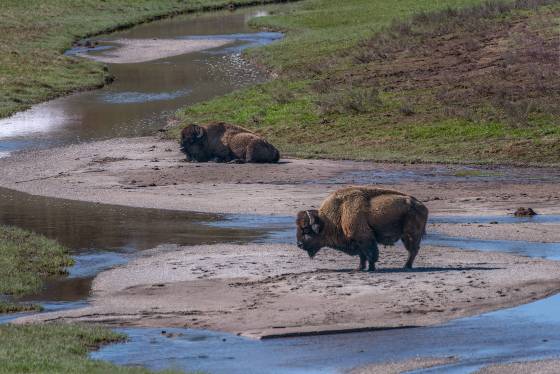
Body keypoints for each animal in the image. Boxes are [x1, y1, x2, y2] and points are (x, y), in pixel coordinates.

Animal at [298, 187, 428, 272]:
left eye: (306, 229)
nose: (299, 244)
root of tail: (422, 206)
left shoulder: (364, 238)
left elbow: (370, 254)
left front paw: (371, 268)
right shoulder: (358, 241)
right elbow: (363, 255)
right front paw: (360, 268)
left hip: (411, 235)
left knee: (413, 250)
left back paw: (406, 266)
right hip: (405, 236)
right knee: (413, 250)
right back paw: (406, 266)